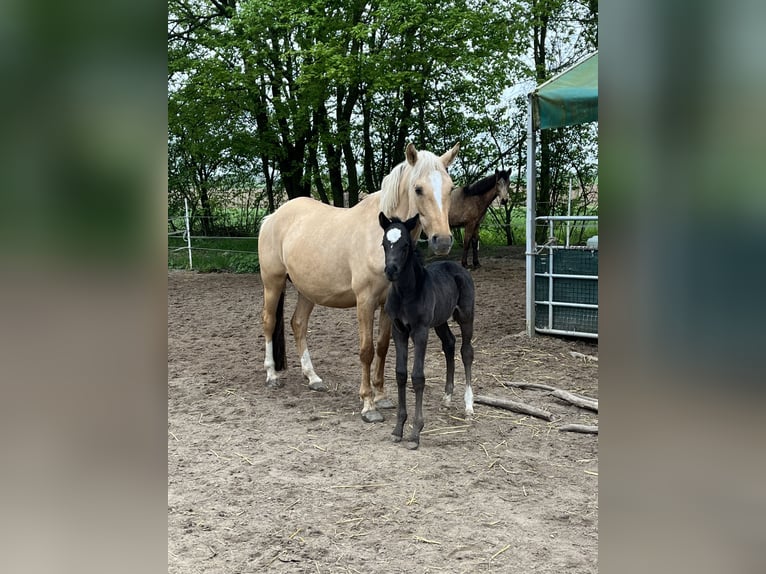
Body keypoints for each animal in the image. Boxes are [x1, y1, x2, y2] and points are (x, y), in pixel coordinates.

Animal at [380, 214, 476, 452]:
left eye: (405, 245)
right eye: (384, 244)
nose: (391, 270)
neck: (406, 293)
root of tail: (457, 266)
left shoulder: (420, 331)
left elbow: (417, 377)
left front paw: (415, 433)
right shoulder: (399, 330)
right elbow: (401, 374)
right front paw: (398, 429)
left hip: (466, 316)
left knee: (466, 351)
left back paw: (469, 406)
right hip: (440, 321)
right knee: (449, 344)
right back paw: (447, 398)